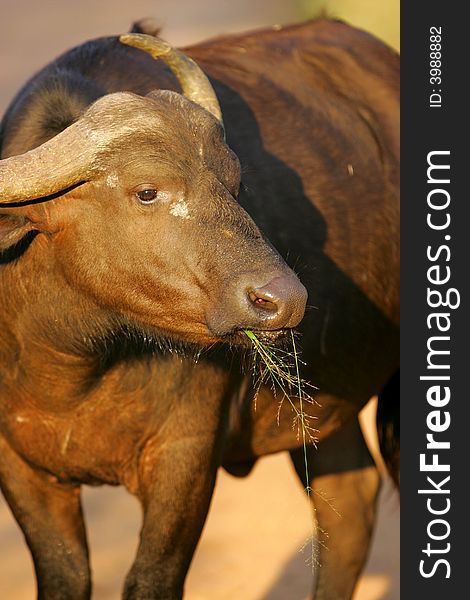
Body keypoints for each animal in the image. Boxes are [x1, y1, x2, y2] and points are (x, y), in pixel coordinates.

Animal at [0, 18, 398, 600]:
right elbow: (65, 576)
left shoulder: (185, 456)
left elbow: (152, 578)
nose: (285, 299)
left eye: (234, 182)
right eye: (147, 191)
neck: (72, 368)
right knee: (351, 501)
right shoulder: (20, 469)